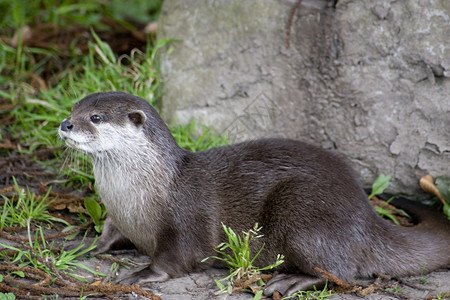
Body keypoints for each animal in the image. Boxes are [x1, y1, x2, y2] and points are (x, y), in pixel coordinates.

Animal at [59, 91, 450, 296]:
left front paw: (142, 274)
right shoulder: (116, 216)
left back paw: (292, 279)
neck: (137, 196)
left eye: (95, 117)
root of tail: (366, 216)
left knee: (342, 272)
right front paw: (79, 244)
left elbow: (174, 259)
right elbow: (106, 236)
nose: (65, 124)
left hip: (302, 210)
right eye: (74, 108)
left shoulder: (183, 220)